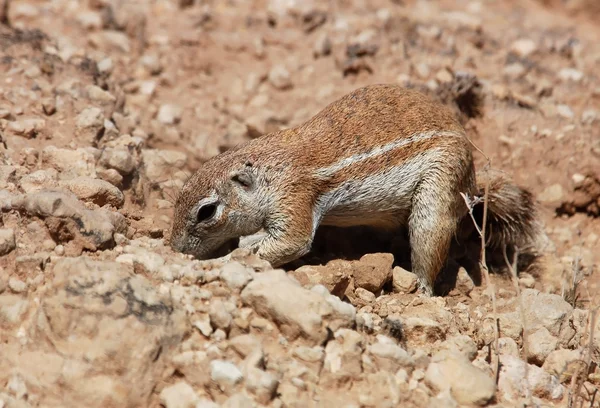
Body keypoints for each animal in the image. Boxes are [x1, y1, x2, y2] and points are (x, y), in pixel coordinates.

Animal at [170, 84, 540, 294]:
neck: (269, 168)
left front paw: (228, 258)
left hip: (439, 190)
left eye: (206, 211)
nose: (174, 248)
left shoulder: (294, 198)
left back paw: (418, 288)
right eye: (180, 193)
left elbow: (291, 242)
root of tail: (475, 186)